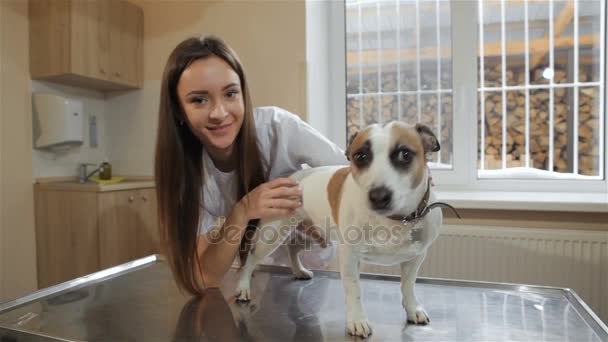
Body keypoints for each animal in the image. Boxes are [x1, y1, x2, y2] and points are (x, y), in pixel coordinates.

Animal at [235, 120, 458, 336]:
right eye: (360, 156)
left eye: (404, 154)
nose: (378, 196)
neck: (394, 219)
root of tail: (293, 177)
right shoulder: (350, 256)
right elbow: (354, 290)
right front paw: (357, 321)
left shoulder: (416, 257)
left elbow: (408, 285)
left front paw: (413, 309)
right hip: (271, 236)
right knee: (251, 258)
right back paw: (243, 286)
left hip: (315, 236)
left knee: (293, 248)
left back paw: (299, 270)